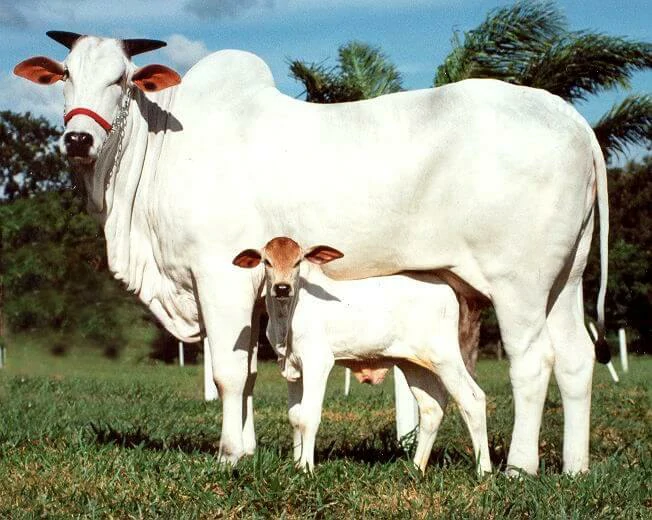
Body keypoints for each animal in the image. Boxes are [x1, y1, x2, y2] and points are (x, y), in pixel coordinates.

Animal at [233, 237, 491, 475]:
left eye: (298, 261)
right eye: (267, 261)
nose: (282, 288)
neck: (286, 317)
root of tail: (444, 287)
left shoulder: (318, 362)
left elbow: (308, 417)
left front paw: (306, 468)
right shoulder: (293, 368)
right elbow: (295, 417)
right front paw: (297, 464)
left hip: (446, 357)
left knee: (472, 399)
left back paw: (484, 471)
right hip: (413, 364)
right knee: (432, 407)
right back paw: (416, 468)